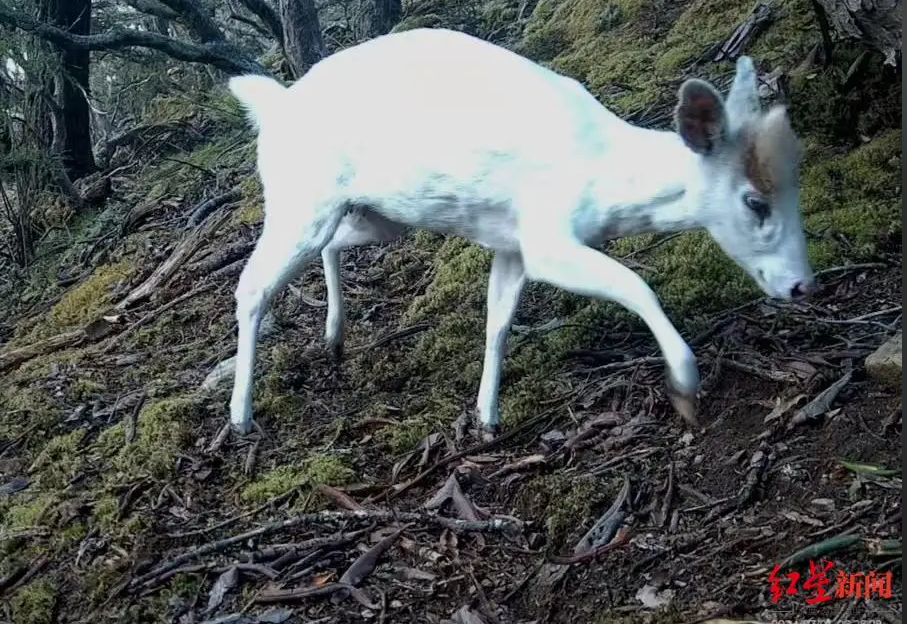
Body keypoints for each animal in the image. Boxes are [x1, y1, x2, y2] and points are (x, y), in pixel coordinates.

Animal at [225, 28, 816, 438]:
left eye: (795, 185)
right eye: (755, 201)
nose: (802, 284)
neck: (604, 179)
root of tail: (272, 107)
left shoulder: (510, 244)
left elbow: (499, 321)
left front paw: (486, 416)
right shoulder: (545, 236)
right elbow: (636, 284)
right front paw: (685, 386)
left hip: (376, 215)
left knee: (332, 242)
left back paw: (335, 336)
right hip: (300, 198)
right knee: (251, 286)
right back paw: (241, 416)